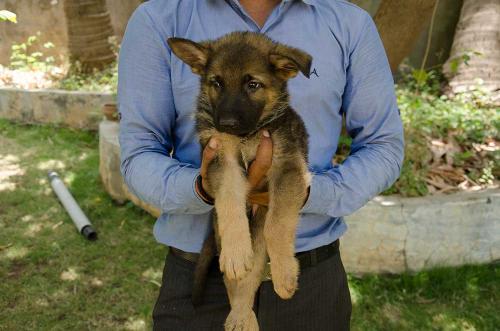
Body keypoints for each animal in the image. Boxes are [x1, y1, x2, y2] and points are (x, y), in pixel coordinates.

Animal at [168, 31, 310, 331]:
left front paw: (285, 273)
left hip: (258, 230)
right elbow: (229, 201)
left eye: (253, 85)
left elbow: (278, 225)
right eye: (216, 83)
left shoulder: (288, 167)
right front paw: (235, 251)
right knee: (237, 281)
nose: (227, 124)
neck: (249, 135)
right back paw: (241, 316)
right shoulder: (222, 162)